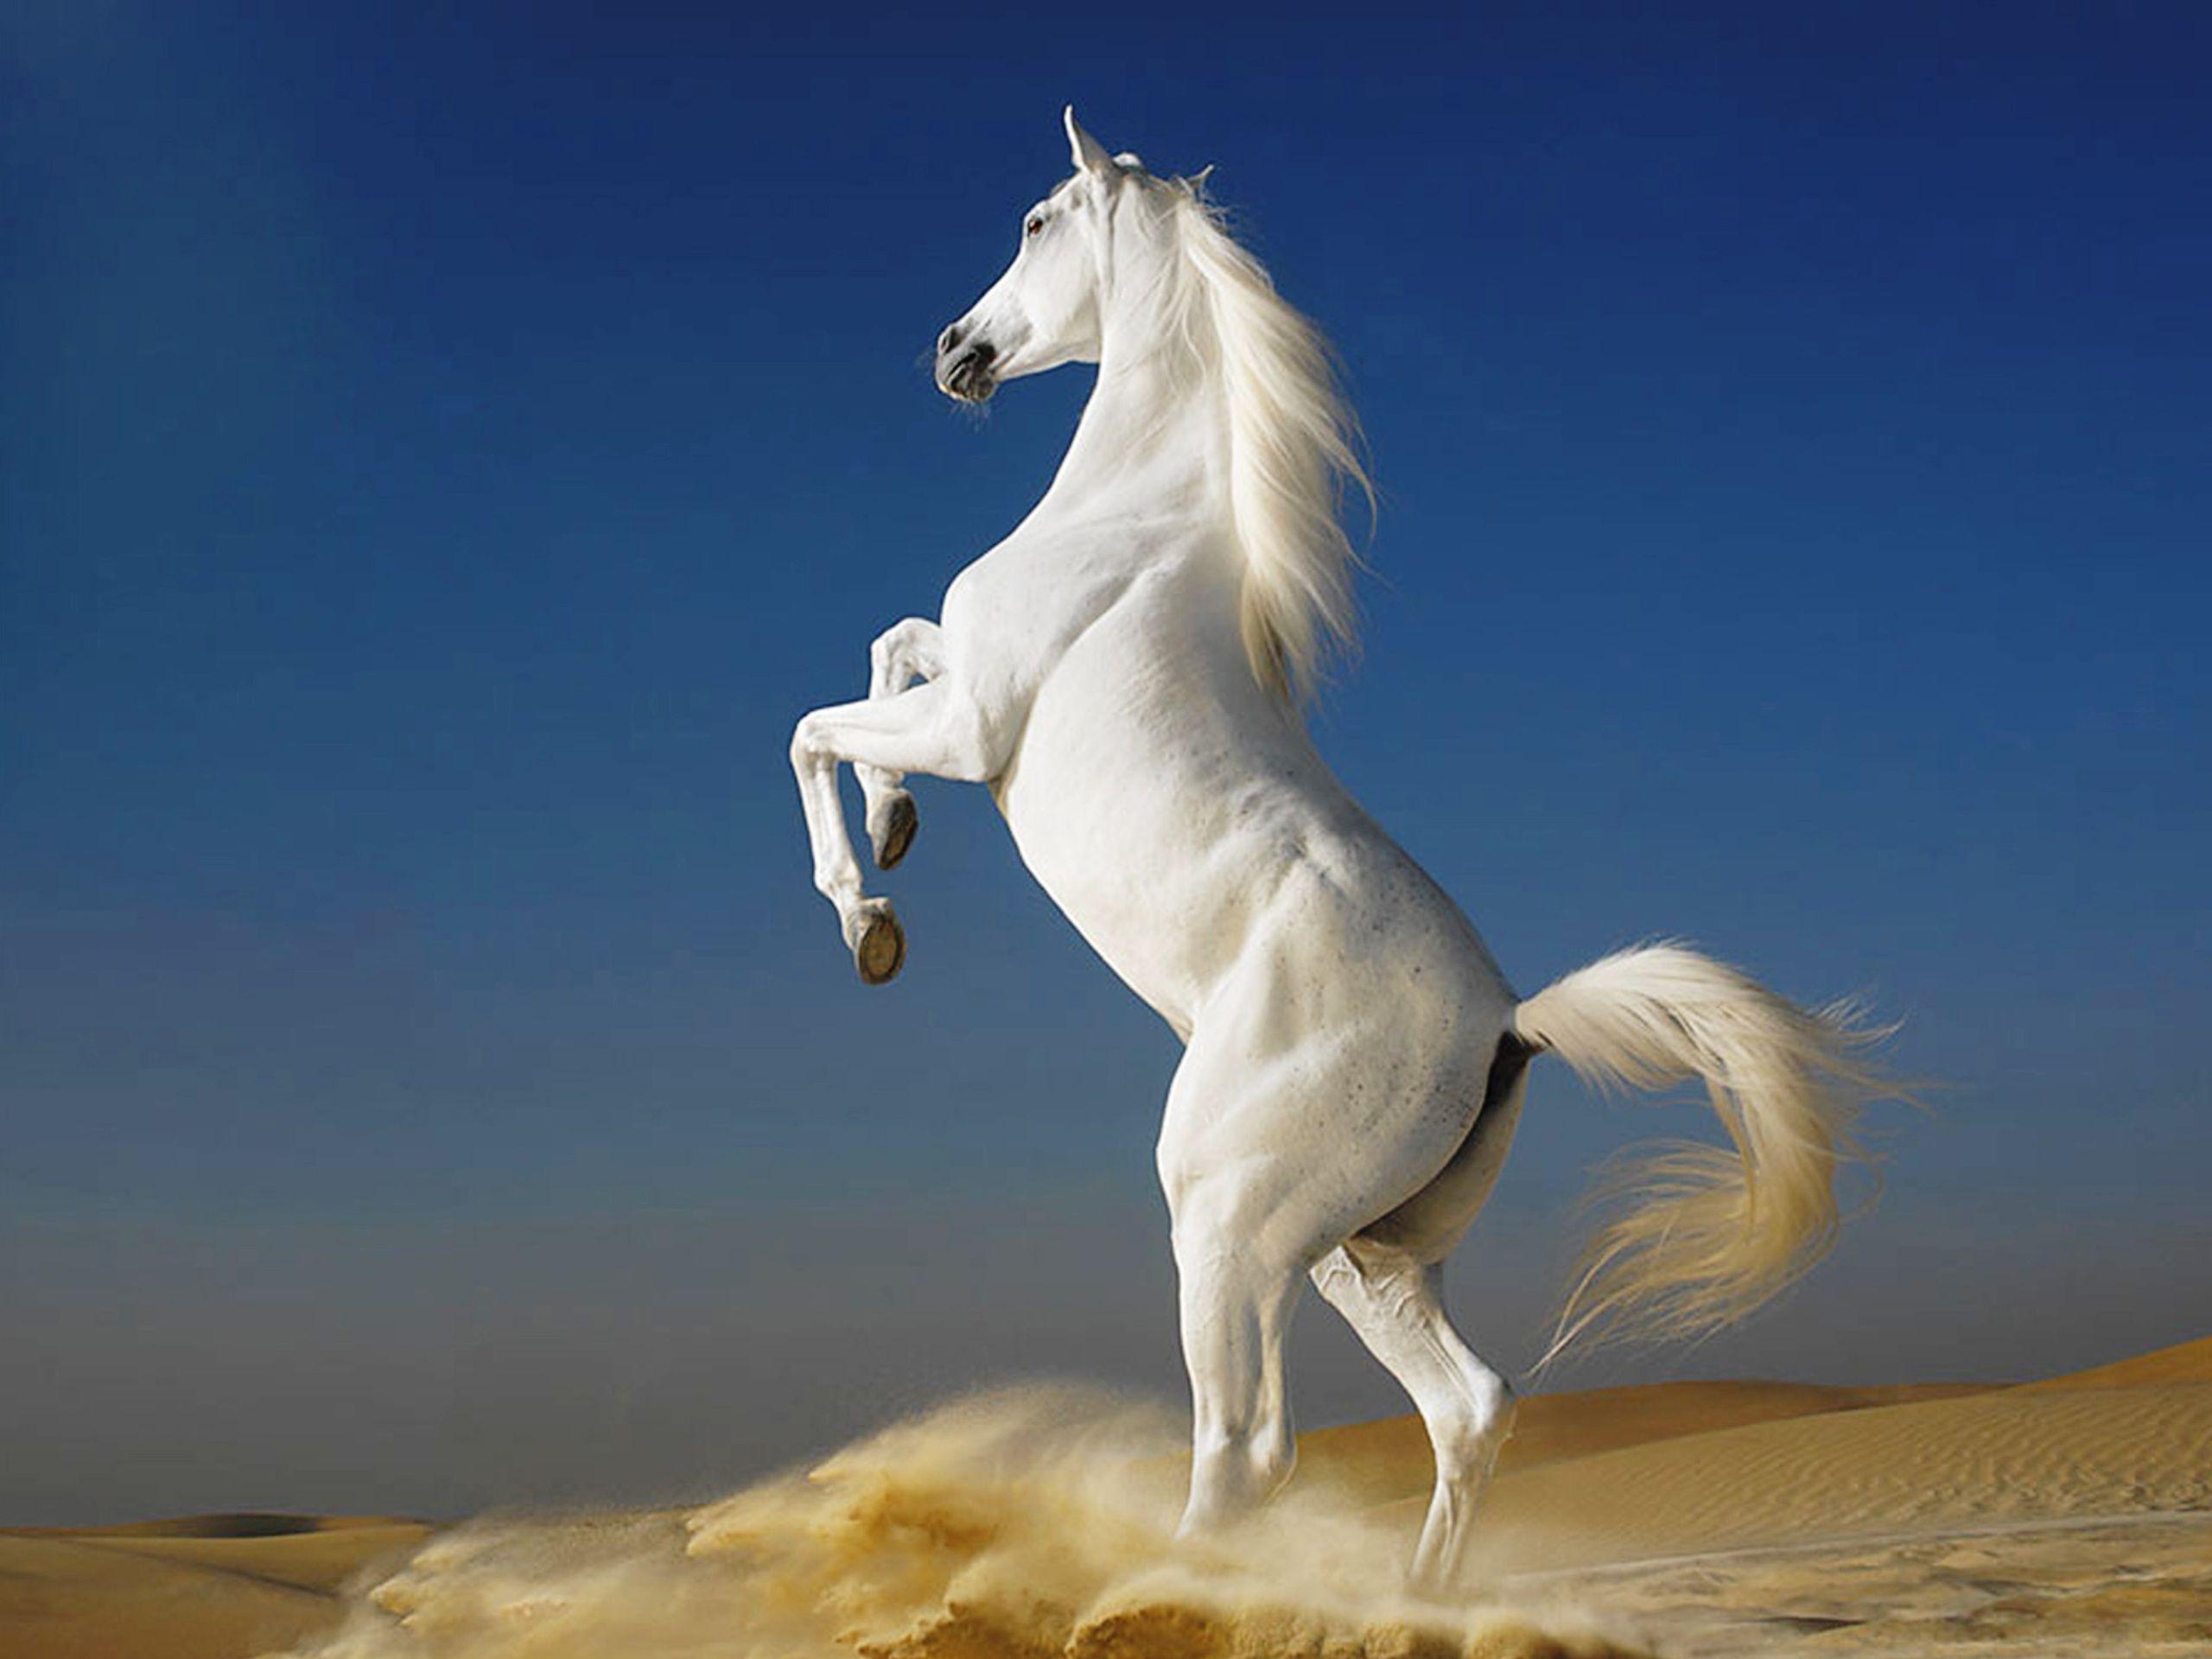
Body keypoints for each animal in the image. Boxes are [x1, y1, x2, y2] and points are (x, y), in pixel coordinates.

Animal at [787, 109, 1890, 1583]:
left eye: (1033, 221)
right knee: (1467, 1409)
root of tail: (1509, 1026)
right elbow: (891, 644)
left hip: (1225, 1221)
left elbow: (817, 724)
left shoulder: (974, 726)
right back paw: (1413, 1603)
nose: (957, 351)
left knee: (1250, 1449)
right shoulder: (954, 690)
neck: (1130, 521)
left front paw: (872, 920)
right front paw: (897, 833)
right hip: (1354, 1253)